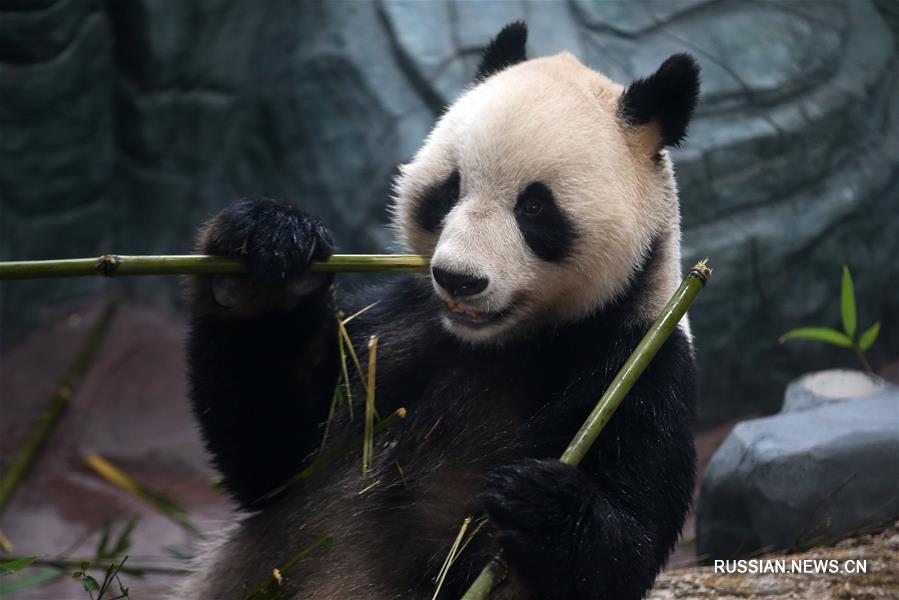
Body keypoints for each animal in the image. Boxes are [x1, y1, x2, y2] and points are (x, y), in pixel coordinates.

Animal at [179, 21, 704, 596]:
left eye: (534, 207)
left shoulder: (638, 363)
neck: (501, 345)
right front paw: (269, 251)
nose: (458, 279)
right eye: (449, 189)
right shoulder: (393, 330)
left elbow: (626, 548)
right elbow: (276, 458)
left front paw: (539, 500)